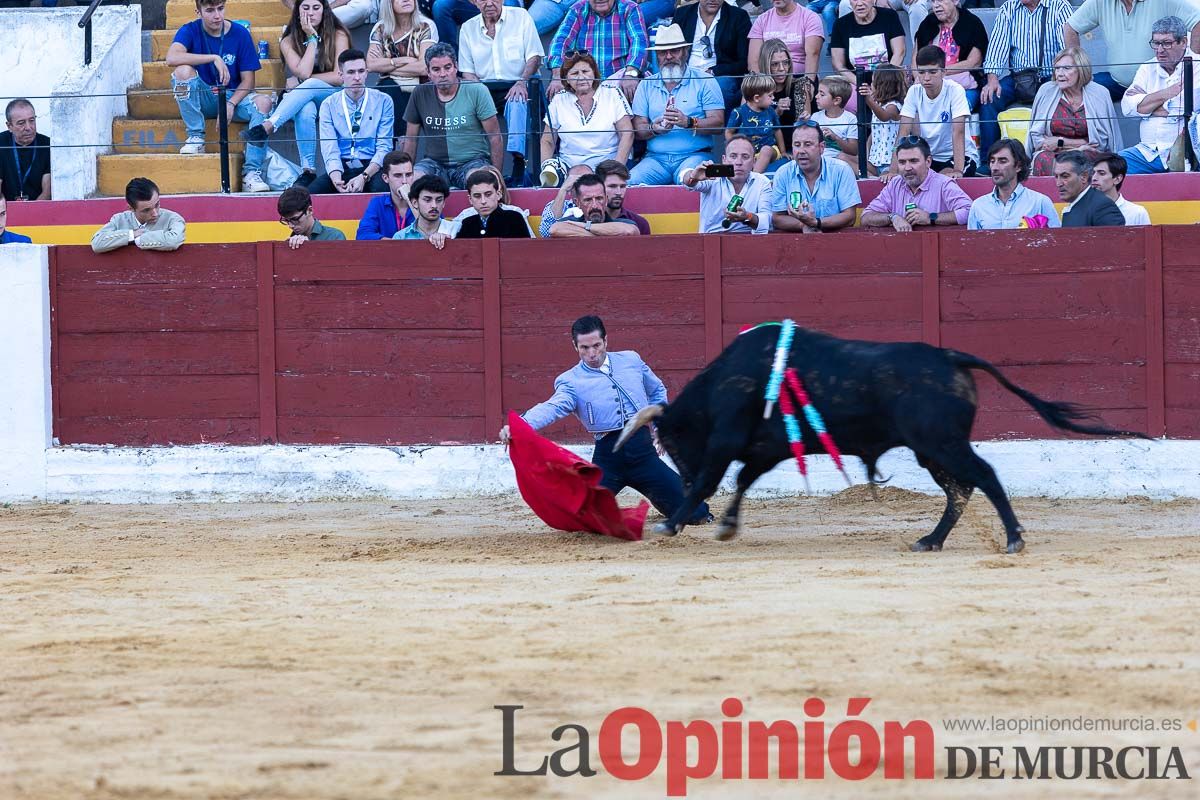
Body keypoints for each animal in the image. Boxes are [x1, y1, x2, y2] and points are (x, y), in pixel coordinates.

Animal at [614, 321, 1147, 554]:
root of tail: (950, 356)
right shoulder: (766, 449)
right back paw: (930, 541)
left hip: (939, 442)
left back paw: (1013, 538)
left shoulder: (725, 441)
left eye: (672, 444)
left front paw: (671, 524)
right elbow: (743, 482)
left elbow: (715, 478)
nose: (678, 482)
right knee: (960, 489)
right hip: (932, 449)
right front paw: (725, 525)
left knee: (983, 476)